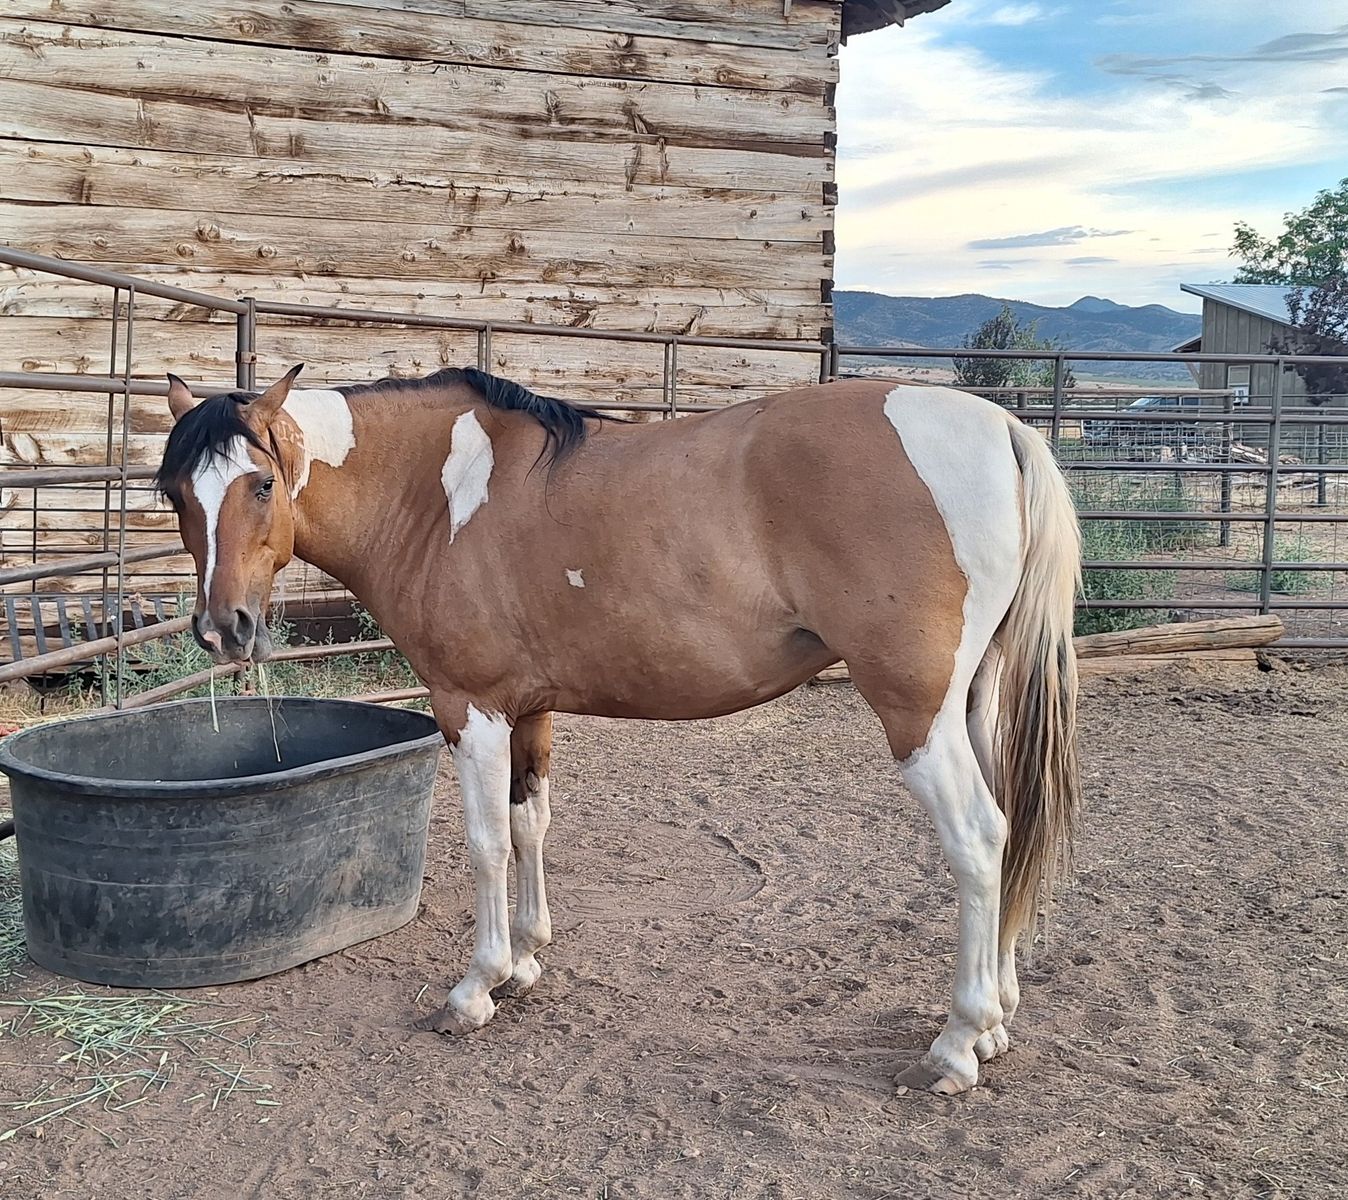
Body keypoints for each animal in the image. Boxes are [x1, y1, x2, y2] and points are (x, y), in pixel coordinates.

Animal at [154, 363, 1081, 1096]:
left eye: (262, 484)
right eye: (175, 494)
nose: (223, 629)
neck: (435, 495)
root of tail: (1000, 428)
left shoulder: (471, 709)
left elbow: (486, 843)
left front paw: (477, 987)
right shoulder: (529, 709)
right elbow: (531, 825)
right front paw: (526, 962)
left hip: (916, 713)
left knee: (977, 837)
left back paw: (957, 1043)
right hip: (974, 702)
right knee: (1007, 832)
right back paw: (996, 1022)